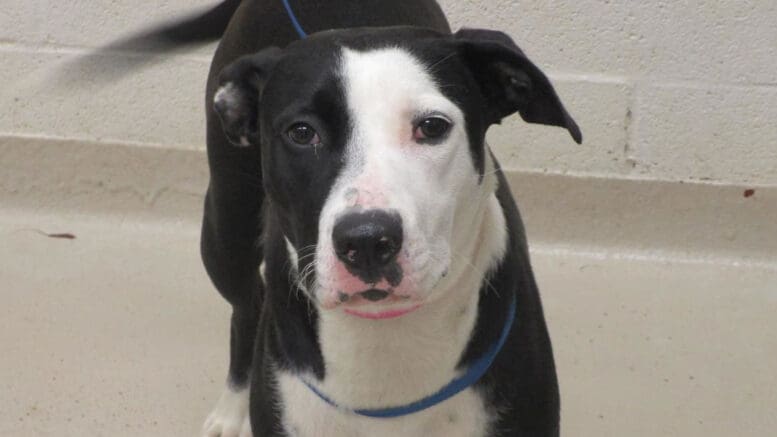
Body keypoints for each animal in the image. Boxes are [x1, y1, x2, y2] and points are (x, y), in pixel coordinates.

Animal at [103, 0, 580, 436]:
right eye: (301, 132)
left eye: (432, 127)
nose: (366, 241)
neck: (384, 336)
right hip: (225, 232)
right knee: (246, 307)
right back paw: (230, 409)